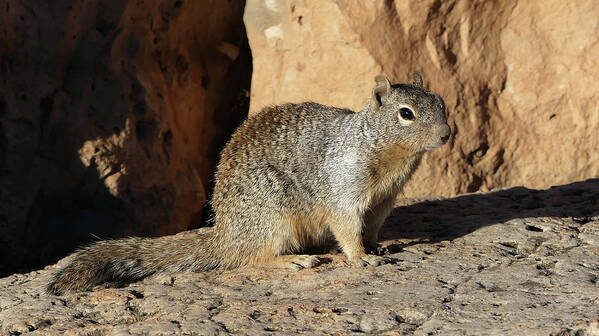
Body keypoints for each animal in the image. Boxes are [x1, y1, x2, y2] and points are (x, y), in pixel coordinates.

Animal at [47, 71, 450, 294]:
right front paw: (361, 257)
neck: (387, 154)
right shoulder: (344, 189)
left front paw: (376, 247)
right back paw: (293, 261)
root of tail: (226, 235)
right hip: (272, 214)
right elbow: (347, 226)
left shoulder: (385, 199)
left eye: (441, 102)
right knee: (251, 257)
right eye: (406, 114)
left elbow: (375, 226)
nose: (447, 134)